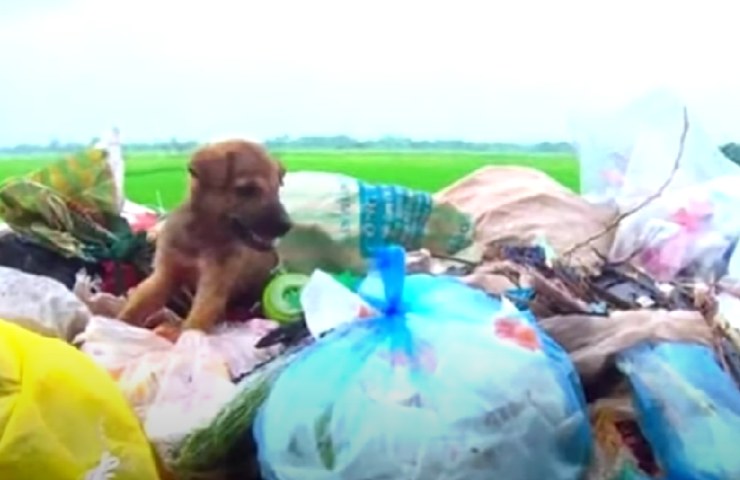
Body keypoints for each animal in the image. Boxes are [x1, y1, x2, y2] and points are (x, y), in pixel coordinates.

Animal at [117, 141, 290, 332]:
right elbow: (137, 305)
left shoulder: (212, 288)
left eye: (277, 189)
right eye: (247, 190)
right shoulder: (164, 275)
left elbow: (194, 322)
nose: (287, 225)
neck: (200, 237)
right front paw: (119, 323)